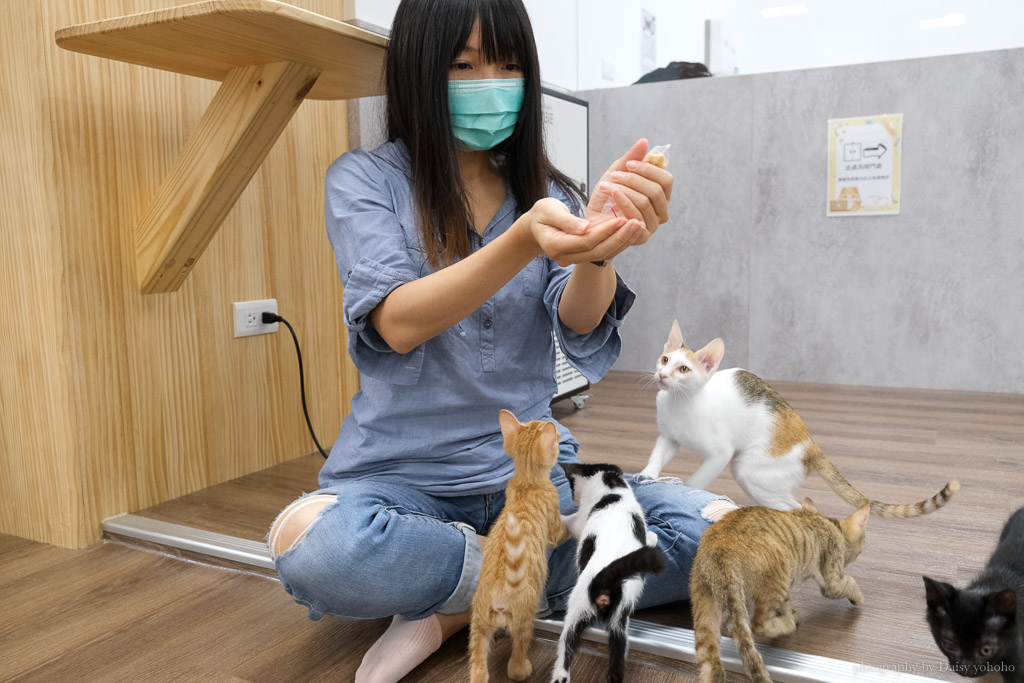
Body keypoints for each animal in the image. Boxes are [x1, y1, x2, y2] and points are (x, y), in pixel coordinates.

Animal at [468, 411, 573, 683]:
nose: (558, 433)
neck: (527, 482)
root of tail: (498, 591)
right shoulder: (554, 521)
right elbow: (563, 530)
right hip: (525, 616)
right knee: (514, 664)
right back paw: (524, 668)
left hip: (479, 623)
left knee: (478, 669)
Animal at [552, 464, 663, 683]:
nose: (573, 497)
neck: (611, 488)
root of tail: (608, 577)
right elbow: (648, 536)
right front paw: (653, 537)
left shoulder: (580, 521)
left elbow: (568, 521)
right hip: (619, 623)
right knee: (617, 661)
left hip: (577, 607)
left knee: (566, 648)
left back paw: (559, 675)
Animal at [638, 321, 958, 518]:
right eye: (665, 360)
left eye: (684, 370)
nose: (662, 375)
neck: (680, 403)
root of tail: (812, 446)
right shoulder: (669, 437)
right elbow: (658, 455)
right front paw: (648, 476)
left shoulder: (720, 453)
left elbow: (698, 480)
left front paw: (684, 490)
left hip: (747, 468)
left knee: (796, 508)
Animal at [688, 497, 872, 683]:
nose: (861, 551)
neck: (829, 524)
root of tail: (716, 550)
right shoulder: (830, 580)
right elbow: (849, 583)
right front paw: (858, 596)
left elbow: (786, 603)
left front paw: (789, 613)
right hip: (777, 575)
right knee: (758, 623)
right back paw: (787, 625)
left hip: (705, 604)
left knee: (710, 662)